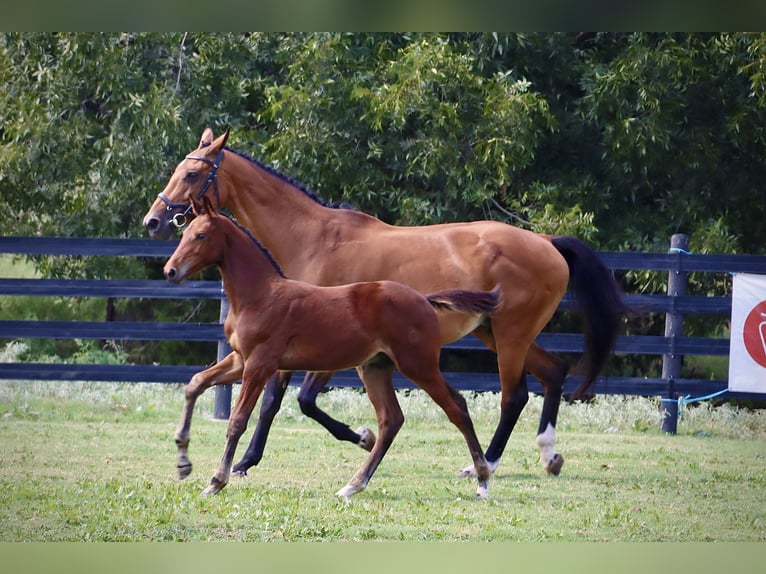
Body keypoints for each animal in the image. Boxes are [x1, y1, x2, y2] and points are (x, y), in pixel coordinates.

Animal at [164, 206, 498, 500]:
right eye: (185, 233)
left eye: (201, 235)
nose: (170, 270)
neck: (260, 295)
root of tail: (425, 300)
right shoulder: (239, 359)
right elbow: (195, 383)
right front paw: (183, 462)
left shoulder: (259, 364)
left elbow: (237, 420)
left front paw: (216, 481)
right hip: (375, 368)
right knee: (391, 420)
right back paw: (353, 485)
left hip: (418, 365)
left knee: (456, 408)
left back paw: (482, 480)